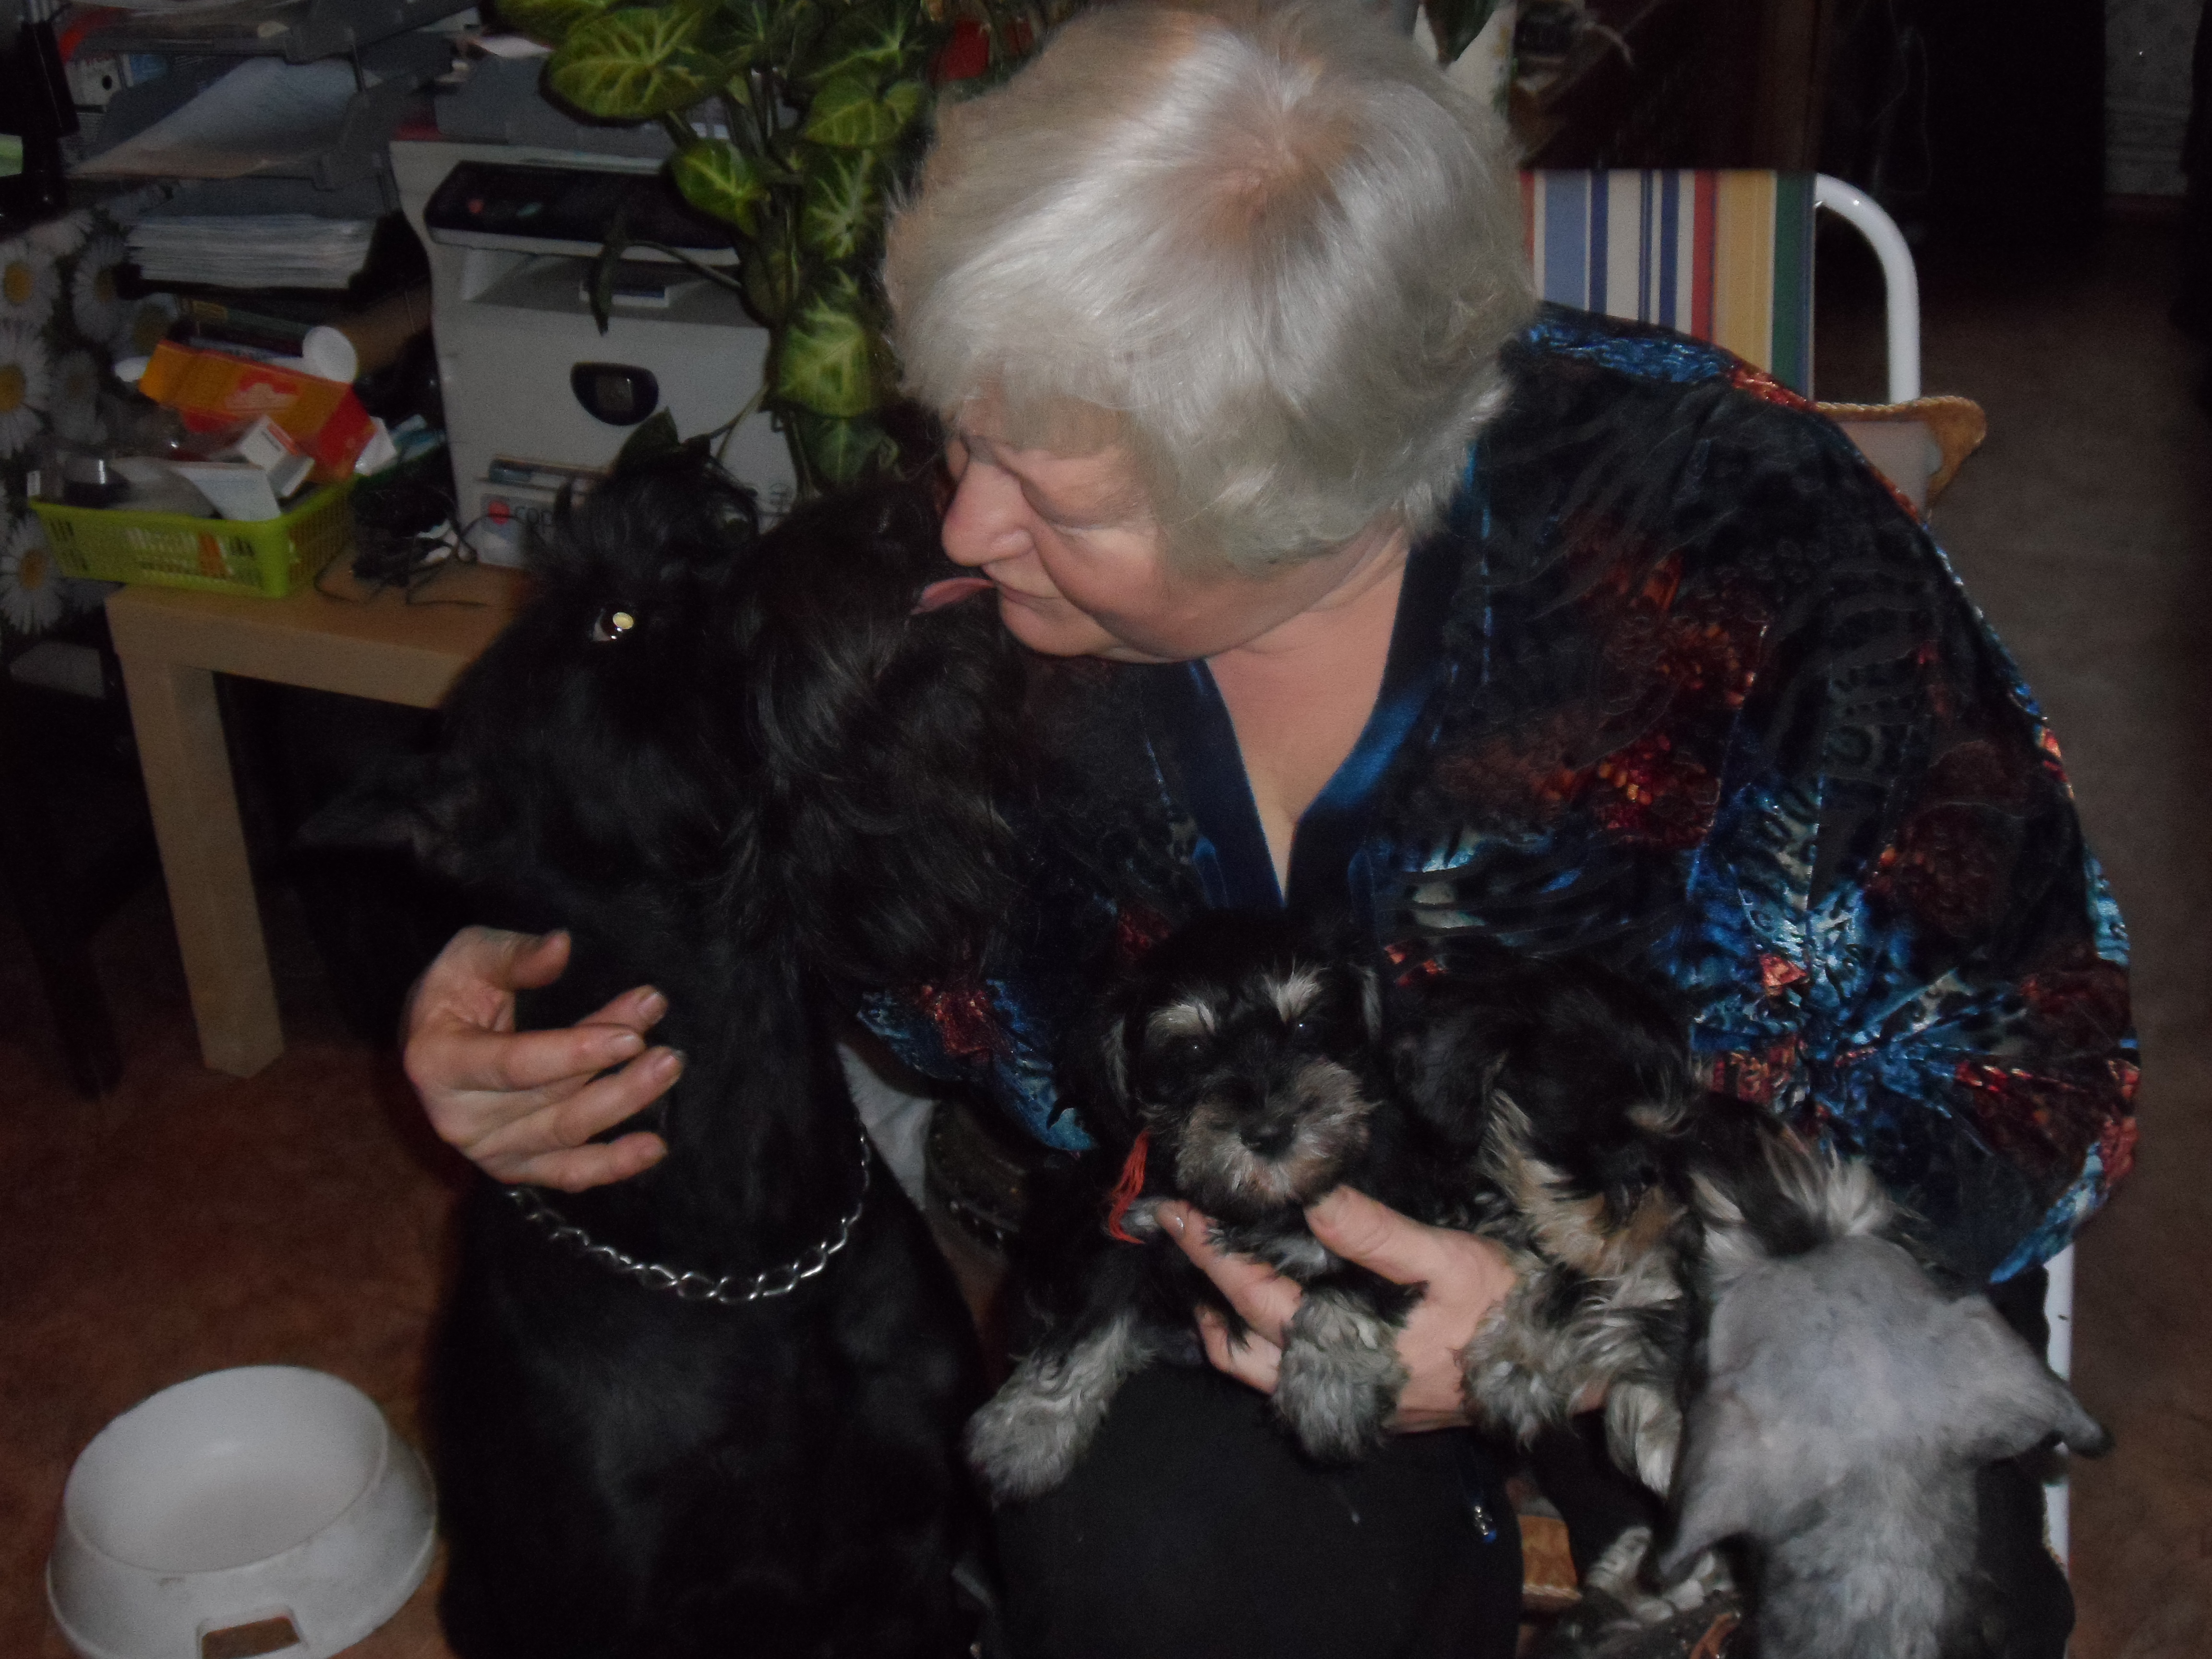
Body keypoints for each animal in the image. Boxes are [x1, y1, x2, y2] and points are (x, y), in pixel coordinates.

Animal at [313, 452, 1023, 1658]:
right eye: (617, 620)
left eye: (721, 533)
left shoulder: (927, 1551)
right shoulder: (613, 1603)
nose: (904, 510)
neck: (752, 1260)